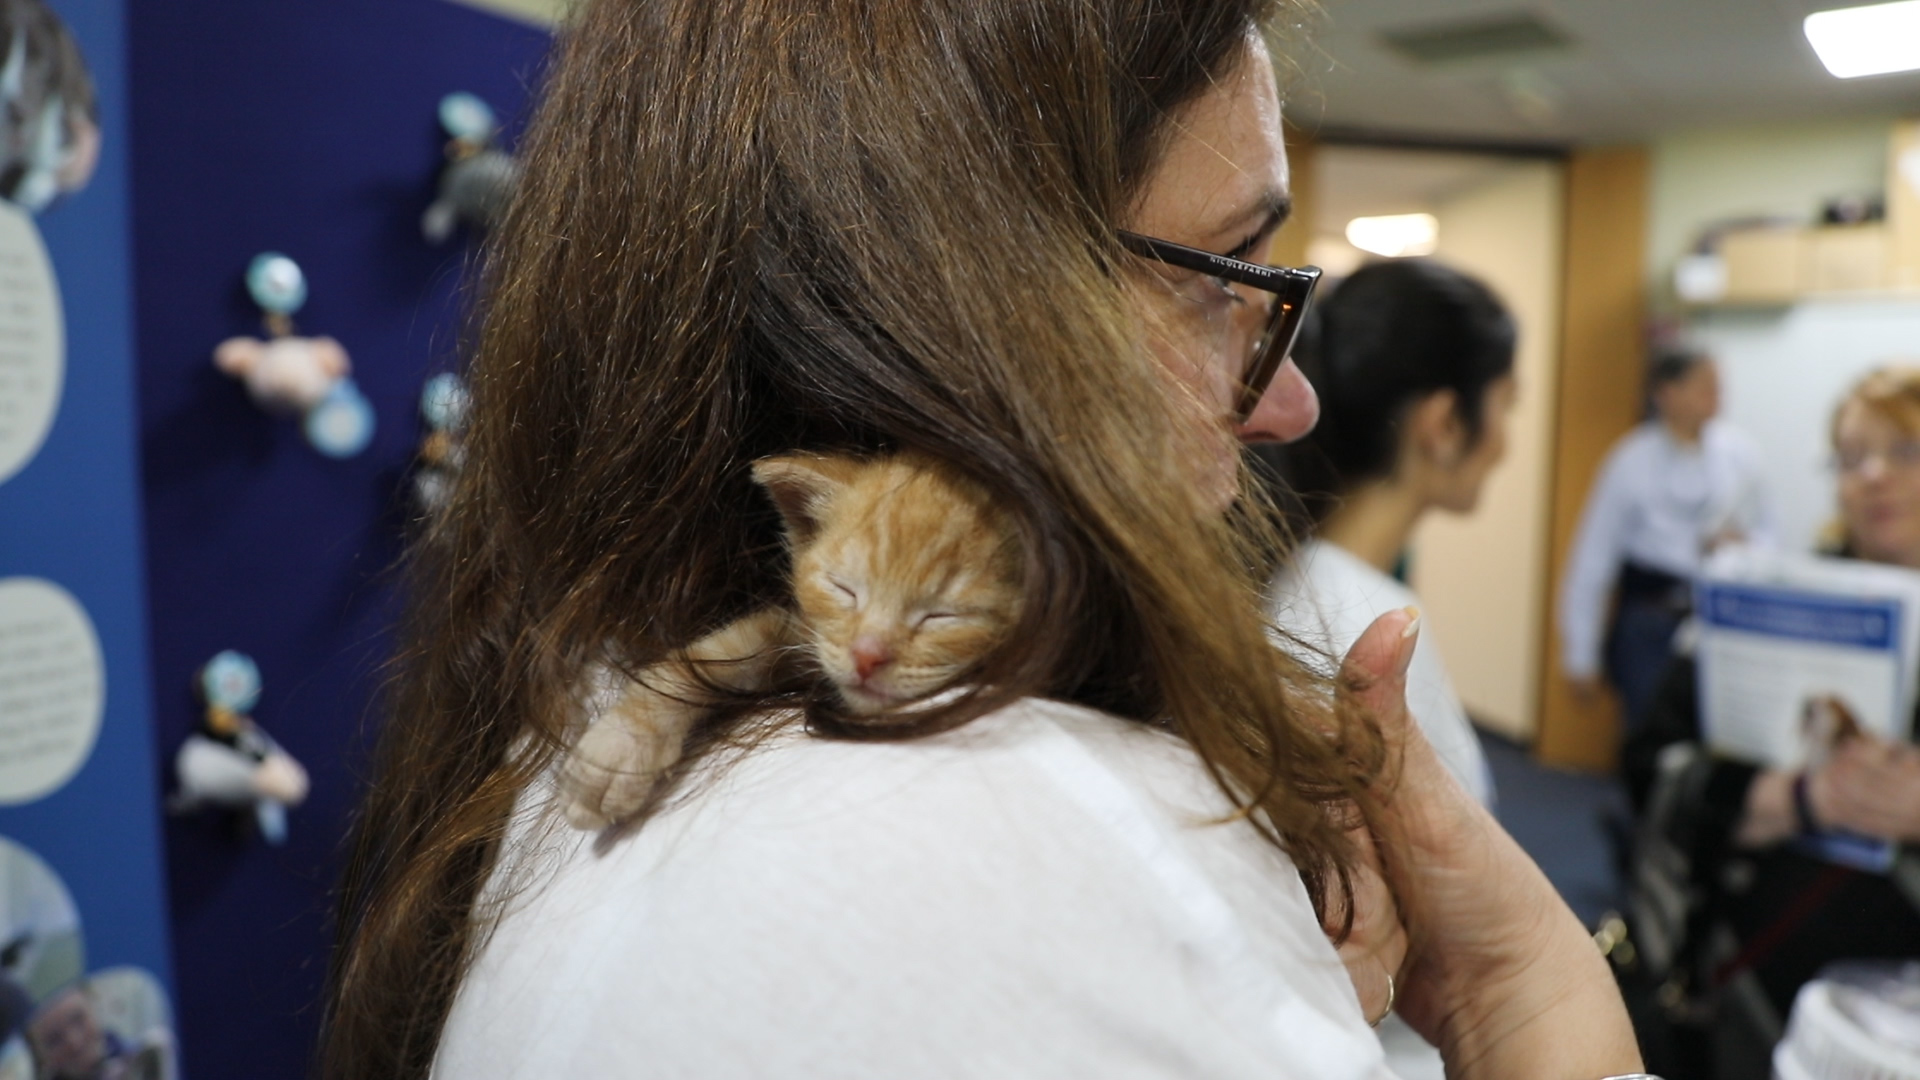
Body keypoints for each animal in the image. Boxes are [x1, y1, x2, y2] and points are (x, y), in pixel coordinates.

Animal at [560, 445, 1021, 822]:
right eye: (842, 588)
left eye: (944, 615)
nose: (866, 656)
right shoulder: (808, 633)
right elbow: (725, 650)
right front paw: (623, 745)